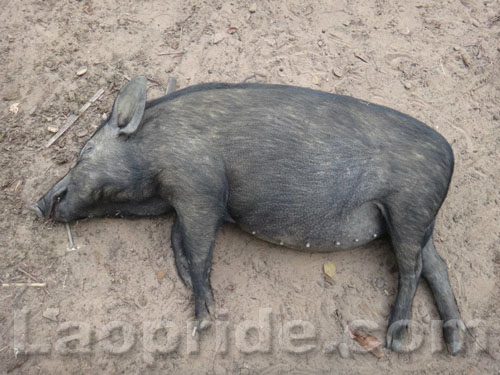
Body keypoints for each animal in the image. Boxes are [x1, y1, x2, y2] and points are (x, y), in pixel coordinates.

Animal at [34, 77, 464, 356]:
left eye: (85, 152)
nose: (38, 203)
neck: (155, 149)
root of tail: (449, 154)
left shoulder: (200, 190)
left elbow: (198, 249)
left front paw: (204, 322)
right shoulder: (188, 201)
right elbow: (178, 239)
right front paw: (187, 283)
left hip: (408, 208)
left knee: (412, 269)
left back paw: (396, 341)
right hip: (414, 222)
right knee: (437, 265)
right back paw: (456, 344)